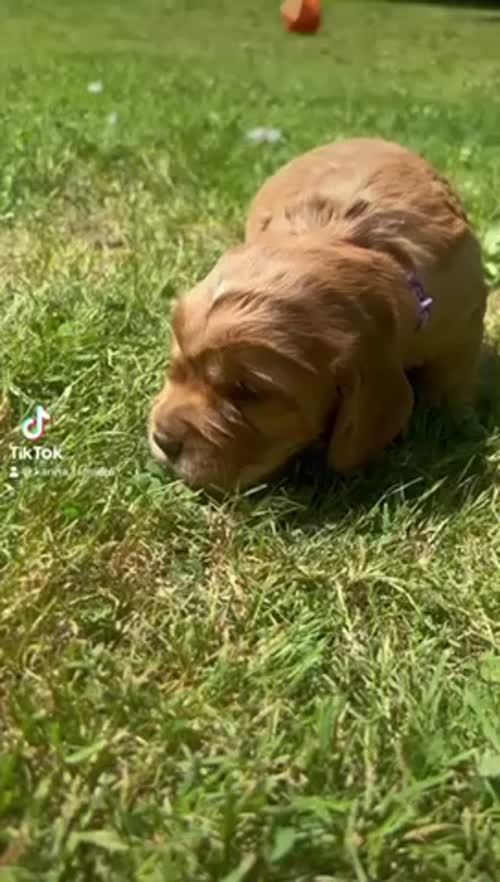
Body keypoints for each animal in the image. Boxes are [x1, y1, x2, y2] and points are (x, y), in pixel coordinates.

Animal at [149, 141, 488, 492]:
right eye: (176, 366)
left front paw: (454, 426)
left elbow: (451, 381)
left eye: (250, 391)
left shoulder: (463, 316)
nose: (163, 440)